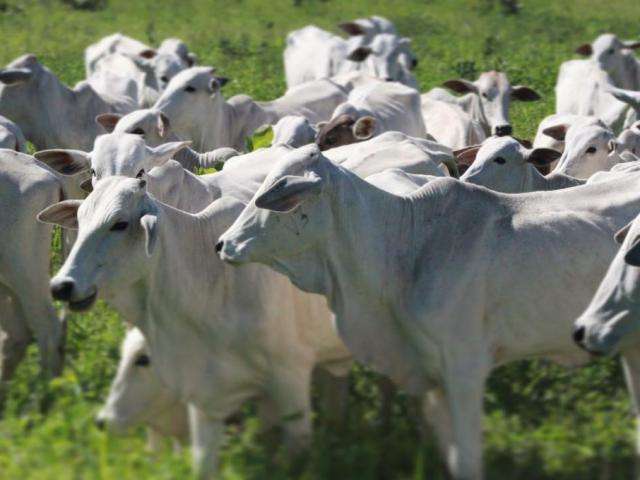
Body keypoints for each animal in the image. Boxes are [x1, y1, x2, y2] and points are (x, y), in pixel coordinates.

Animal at [219, 143, 640, 480]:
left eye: (280, 194)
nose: (222, 243)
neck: (407, 245)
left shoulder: (464, 368)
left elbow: (467, 461)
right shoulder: (430, 375)